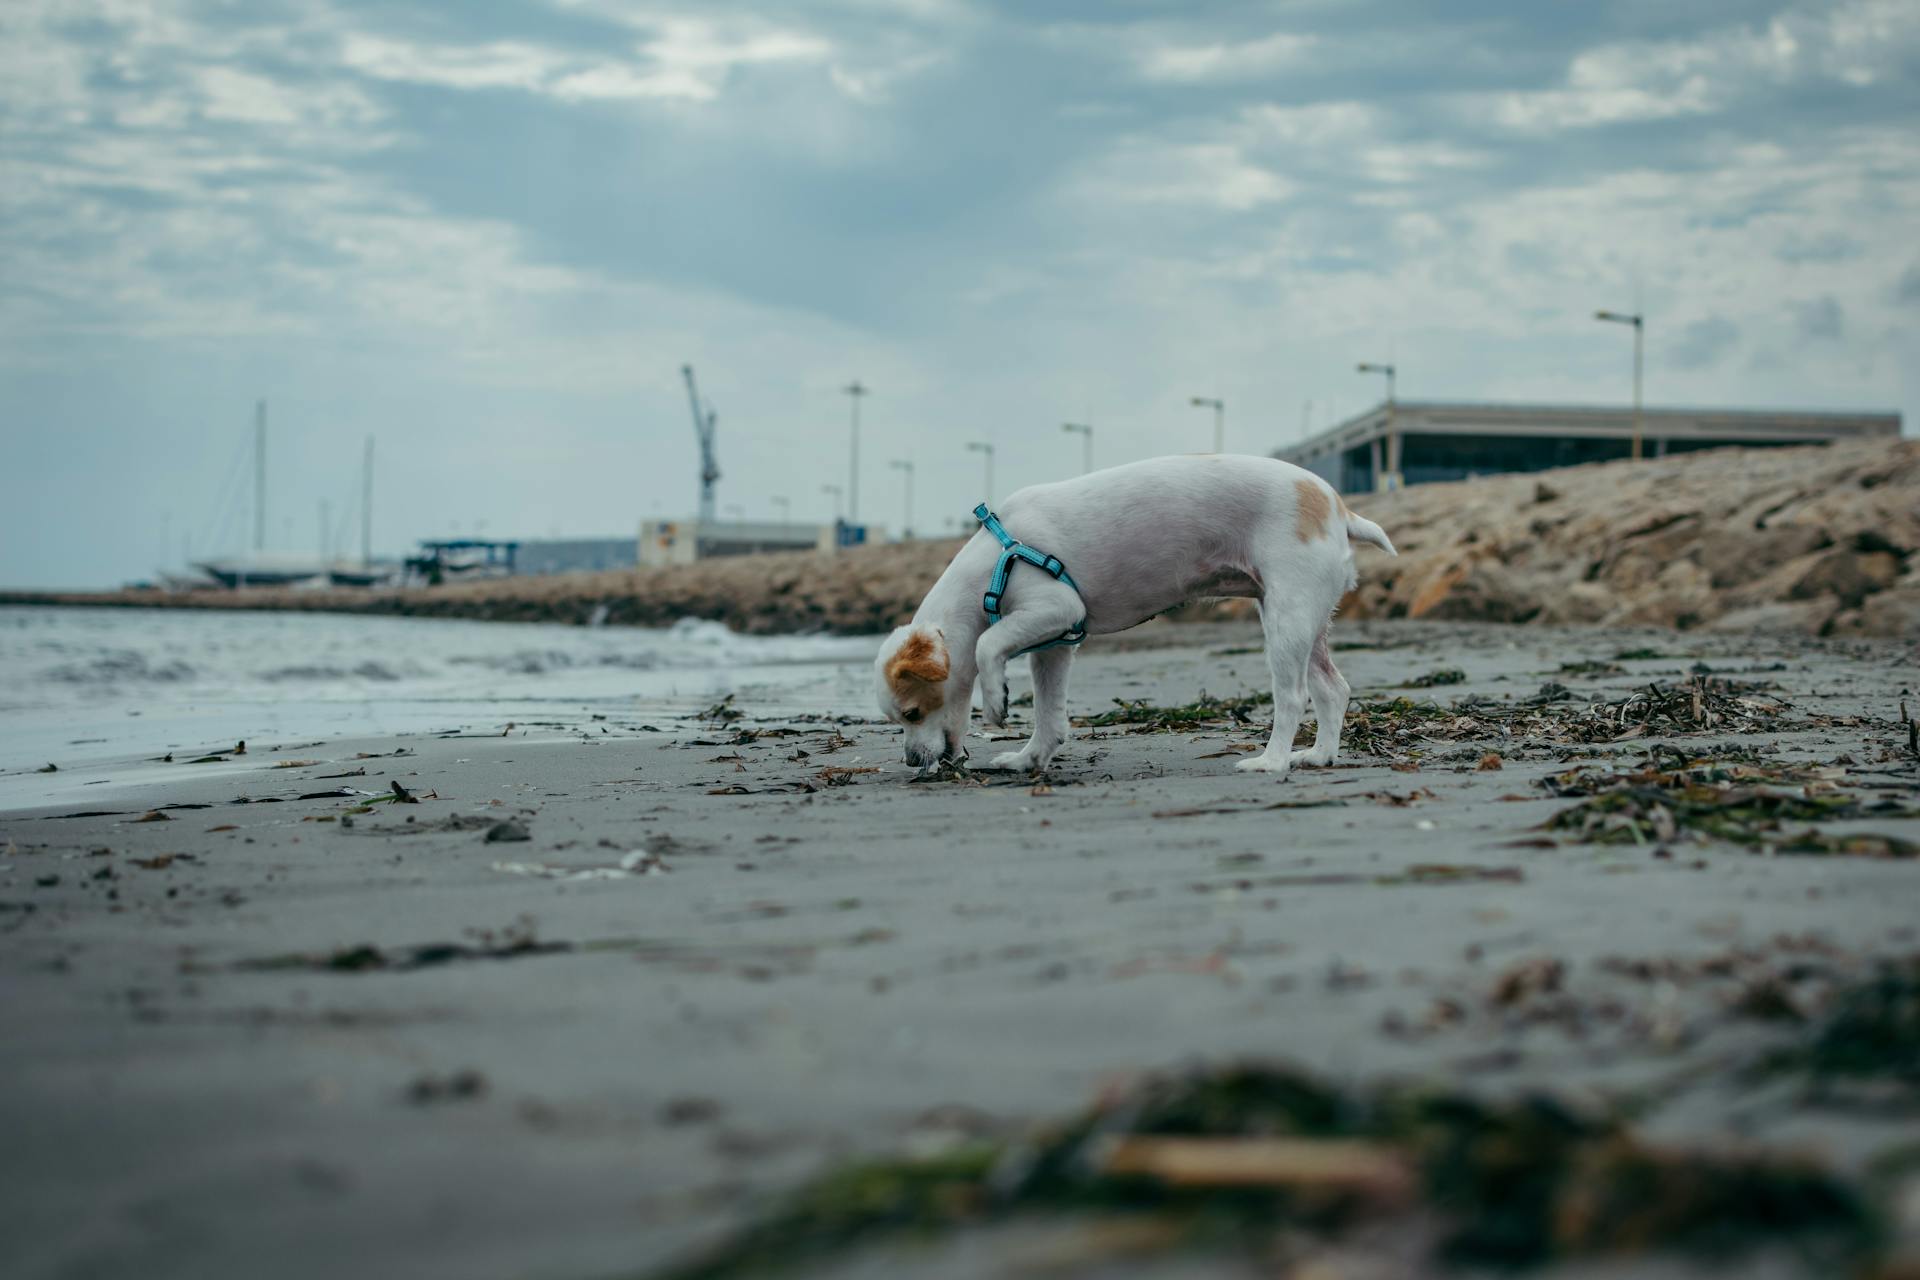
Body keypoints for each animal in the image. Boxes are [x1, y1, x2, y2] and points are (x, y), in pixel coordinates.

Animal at [875, 460, 1397, 782]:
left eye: (912, 714)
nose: (910, 761)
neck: (996, 564)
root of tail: (1337, 506)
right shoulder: (1055, 645)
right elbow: (1049, 717)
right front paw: (1029, 760)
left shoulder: (1058, 609)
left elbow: (987, 646)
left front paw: (996, 699)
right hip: (1306, 623)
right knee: (1333, 690)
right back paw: (1320, 755)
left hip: (1287, 622)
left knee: (1292, 697)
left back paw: (1272, 762)